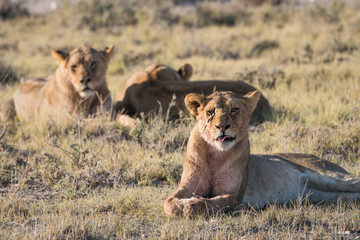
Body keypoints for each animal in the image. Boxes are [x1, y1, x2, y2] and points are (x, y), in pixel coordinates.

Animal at [164, 90, 360, 218]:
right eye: (210, 111)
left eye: (234, 109)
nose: (222, 126)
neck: (215, 154)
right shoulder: (187, 186)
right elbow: (168, 203)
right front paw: (184, 204)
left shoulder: (233, 195)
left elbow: (212, 203)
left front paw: (193, 205)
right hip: (323, 196)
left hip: (328, 176)